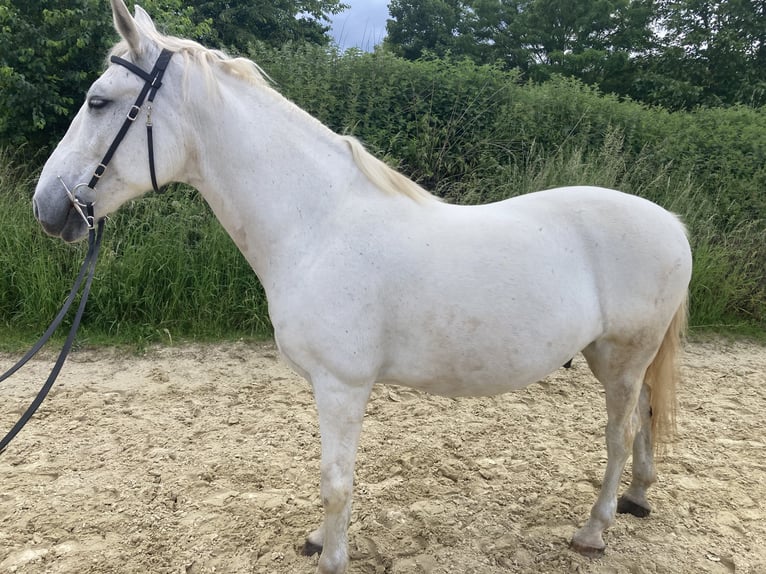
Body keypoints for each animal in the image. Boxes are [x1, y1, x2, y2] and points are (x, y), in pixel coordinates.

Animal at [33, 2, 692, 572]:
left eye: (98, 101)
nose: (48, 207)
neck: (317, 226)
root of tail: (672, 224)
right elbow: (330, 475)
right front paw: (317, 540)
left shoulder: (342, 386)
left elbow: (336, 482)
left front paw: (331, 558)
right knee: (643, 424)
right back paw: (636, 499)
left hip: (621, 360)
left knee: (619, 434)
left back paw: (594, 529)